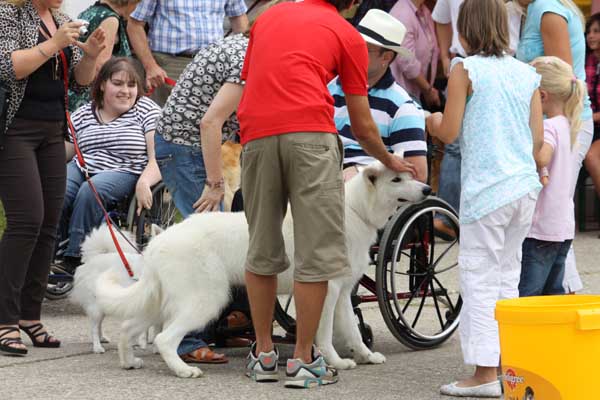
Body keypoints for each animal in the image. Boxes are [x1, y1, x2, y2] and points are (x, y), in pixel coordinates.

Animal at [97, 156, 431, 377]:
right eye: (396, 180)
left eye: (408, 175)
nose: (428, 190)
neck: (355, 210)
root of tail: (159, 241)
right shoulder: (329, 291)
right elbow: (325, 334)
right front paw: (335, 363)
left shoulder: (343, 293)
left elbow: (353, 330)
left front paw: (366, 356)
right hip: (206, 300)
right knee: (165, 339)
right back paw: (183, 370)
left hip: (159, 301)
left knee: (127, 328)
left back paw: (129, 362)